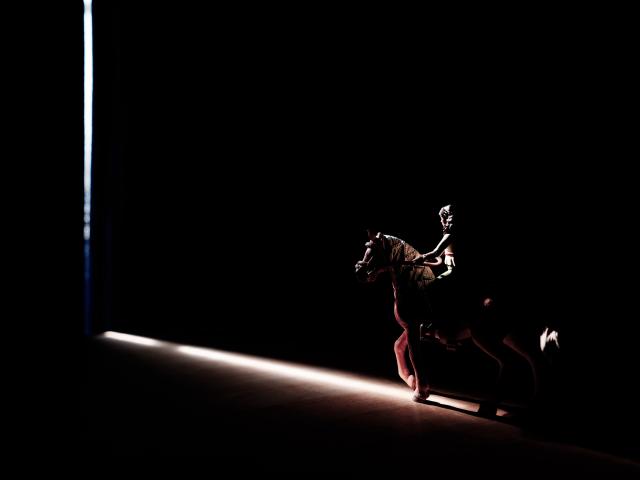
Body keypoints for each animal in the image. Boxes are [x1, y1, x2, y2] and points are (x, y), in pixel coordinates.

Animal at [355, 230, 558, 411]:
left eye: (374, 252)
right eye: (367, 249)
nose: (360, 272)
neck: (413, 283)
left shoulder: (412, 327)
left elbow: (415, 357)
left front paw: (420, 393)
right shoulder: (413, 327)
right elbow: (397, 346)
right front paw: (411, 381)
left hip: (485, 337)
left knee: (509, 362)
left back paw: (491, 403)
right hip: (512, 336)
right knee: (535, 359)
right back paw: (534, 403)